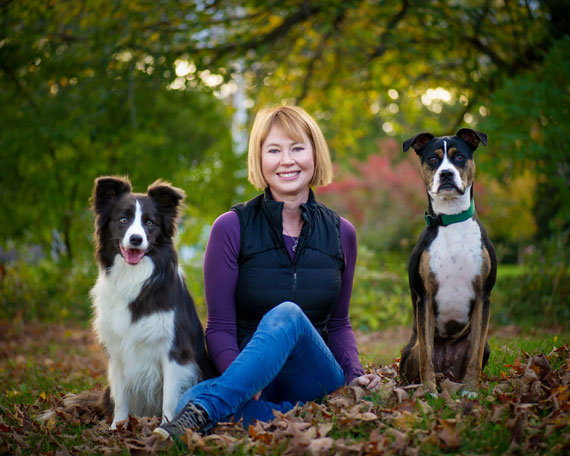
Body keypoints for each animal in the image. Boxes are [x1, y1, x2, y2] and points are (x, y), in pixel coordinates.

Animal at [90, 177, 214, 428]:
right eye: (123, 219)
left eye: (149, 222)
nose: (136, 239)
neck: (133, 277)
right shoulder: (117, 351)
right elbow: (121, 398)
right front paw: (117, 428)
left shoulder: (174, 350)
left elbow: (170, 397)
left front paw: (166, 424)